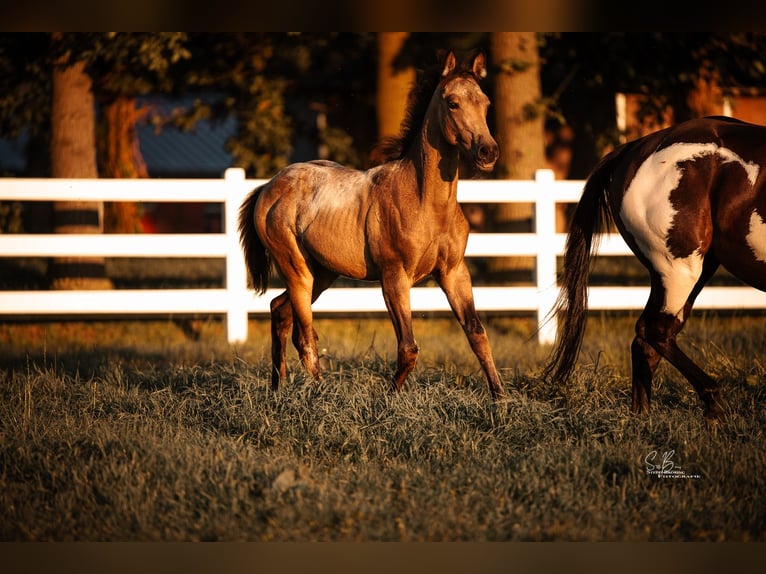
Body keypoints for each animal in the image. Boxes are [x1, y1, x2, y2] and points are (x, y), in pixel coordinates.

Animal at [238, 50, 505, 400]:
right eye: (452, 103)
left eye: (486, 103)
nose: (488, 152)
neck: (427, 203)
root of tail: (269, 186)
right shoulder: (394, 276)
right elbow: (408, 347)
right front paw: (389, 399)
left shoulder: (454, 271)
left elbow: (477, 334)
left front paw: (501, 398)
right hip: (296, 269)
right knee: (304, 336)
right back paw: (321, 394)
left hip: (323, 273)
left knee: (279, 310)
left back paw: (277, 389)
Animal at [543, 116, 766, 423]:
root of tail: (636, 148)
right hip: (679, 270)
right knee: (655, 331)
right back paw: (713, 404)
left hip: (689, 271)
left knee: (647, 340)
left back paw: (643, 416)